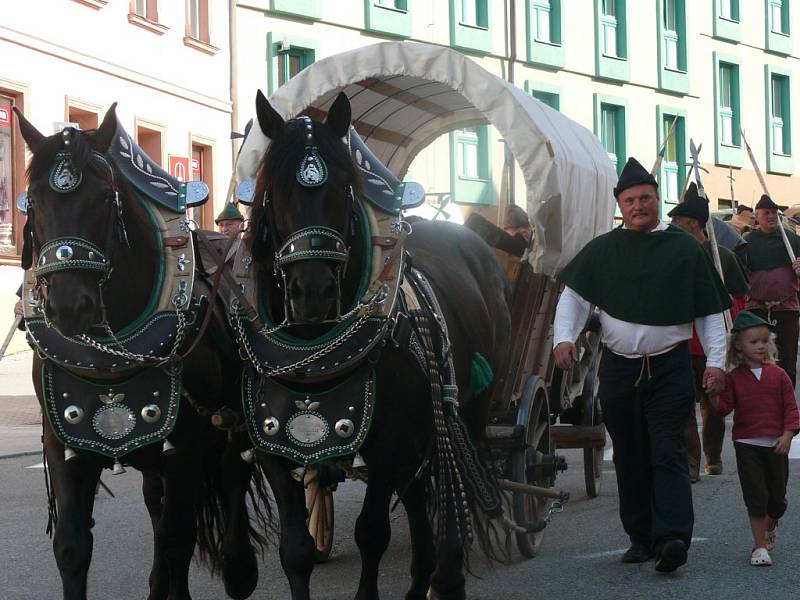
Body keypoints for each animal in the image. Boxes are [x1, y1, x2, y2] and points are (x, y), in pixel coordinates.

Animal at [14, 105, 268, 596]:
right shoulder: (64, 444)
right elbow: (73, 547)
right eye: (33, 200)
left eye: (103, 197)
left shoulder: (185, 448)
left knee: (231, 477)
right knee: (156, 503)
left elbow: (178, 538)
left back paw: (239, 568)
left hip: (234, 423)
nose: (69, 306)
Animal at [242, 90, 512, 600]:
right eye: (274, 191)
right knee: (420, 494)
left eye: (344, 190)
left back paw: (447, 575)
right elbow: (296, 549)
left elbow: (372, 533)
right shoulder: (272, 445)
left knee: (450, 494)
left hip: (464, 411)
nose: (313, 294)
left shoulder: (389, 443)